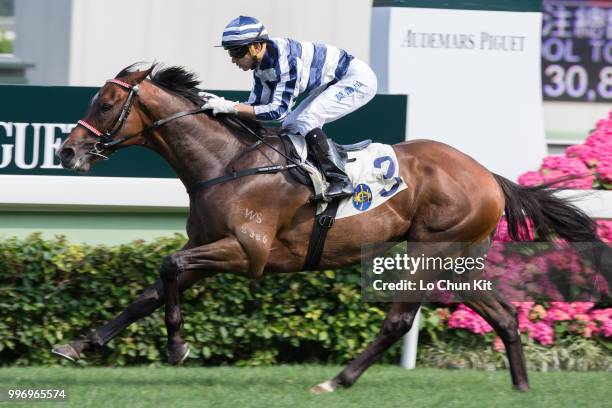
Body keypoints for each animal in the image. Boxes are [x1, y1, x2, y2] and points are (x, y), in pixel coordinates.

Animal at [53, 63, 604, 392]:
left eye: (105, 104)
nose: (66, 151)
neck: (226, 163)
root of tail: (487, 174)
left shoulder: (248, 253)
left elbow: (167, 266)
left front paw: (176, 346)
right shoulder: (211, 247)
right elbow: (151, 290)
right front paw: (78, 345)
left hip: (429, 252)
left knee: (399, 320)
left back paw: (337, 380)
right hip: (458, 260)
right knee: (505, 315)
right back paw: (521, 388)